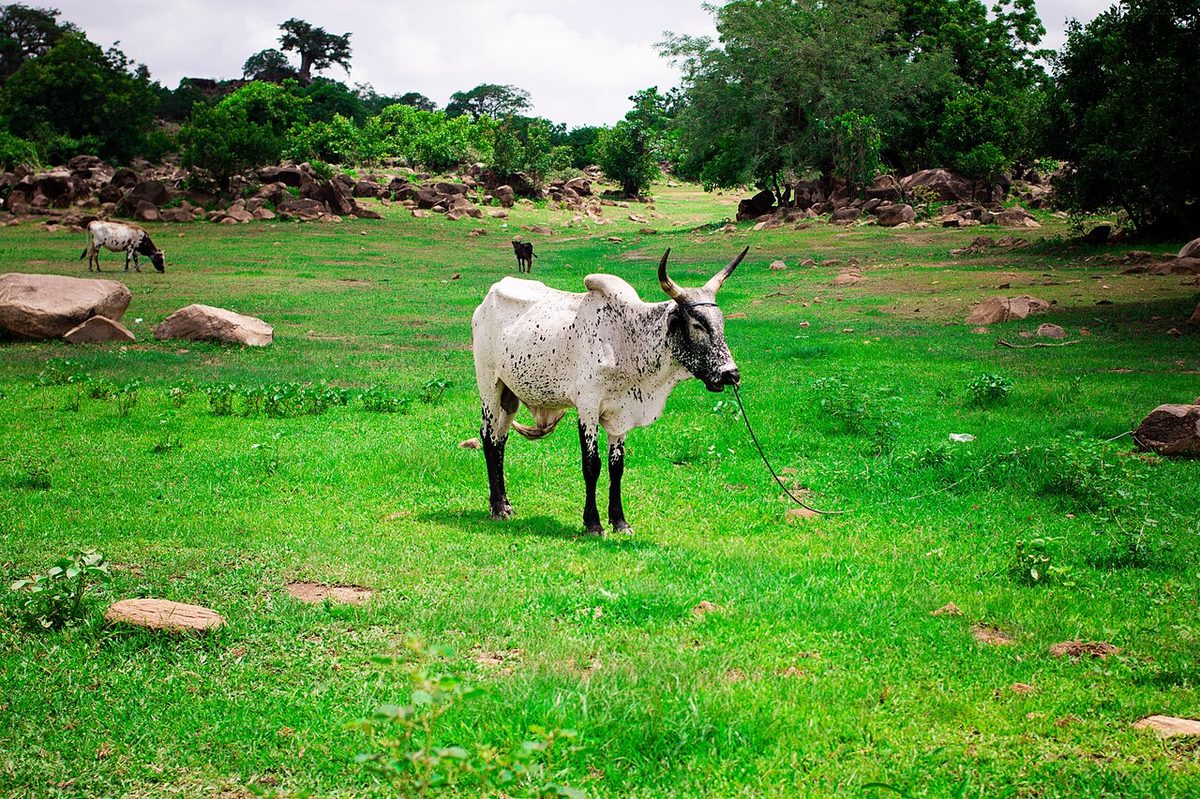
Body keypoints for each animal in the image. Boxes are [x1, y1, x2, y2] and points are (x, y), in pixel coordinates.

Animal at [471, 247, 747, 536]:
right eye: (698, 325)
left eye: (721, 323)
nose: (731, 374)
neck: (627, 341)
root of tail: (487, 299)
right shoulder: (588, 408)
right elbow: (592, 465)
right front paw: (593, 523)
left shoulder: (620, 416)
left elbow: (617, 467)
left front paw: (620, 521)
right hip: (489, 386)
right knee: (488, 438)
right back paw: (497, 508)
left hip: (509, 394)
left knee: (500, 440)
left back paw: (505, 503)